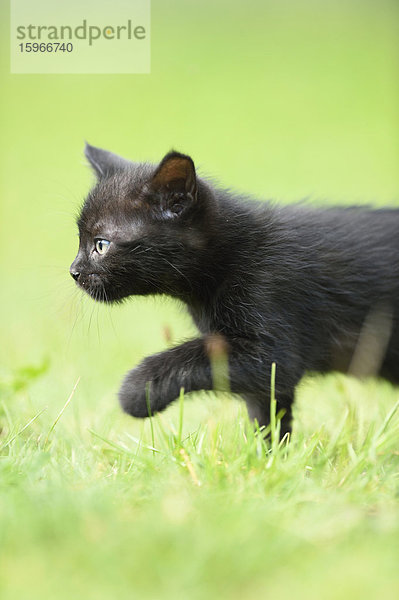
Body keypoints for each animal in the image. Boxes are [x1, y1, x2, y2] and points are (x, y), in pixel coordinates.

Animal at [72, 145, 399, 436]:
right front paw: (269, 456)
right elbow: (267, 412)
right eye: (79, 240)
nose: (74, 271)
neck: (234, 256)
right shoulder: (262, 373)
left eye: (101, 244)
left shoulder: (272, 344)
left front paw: (138, 390)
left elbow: (196, 356)